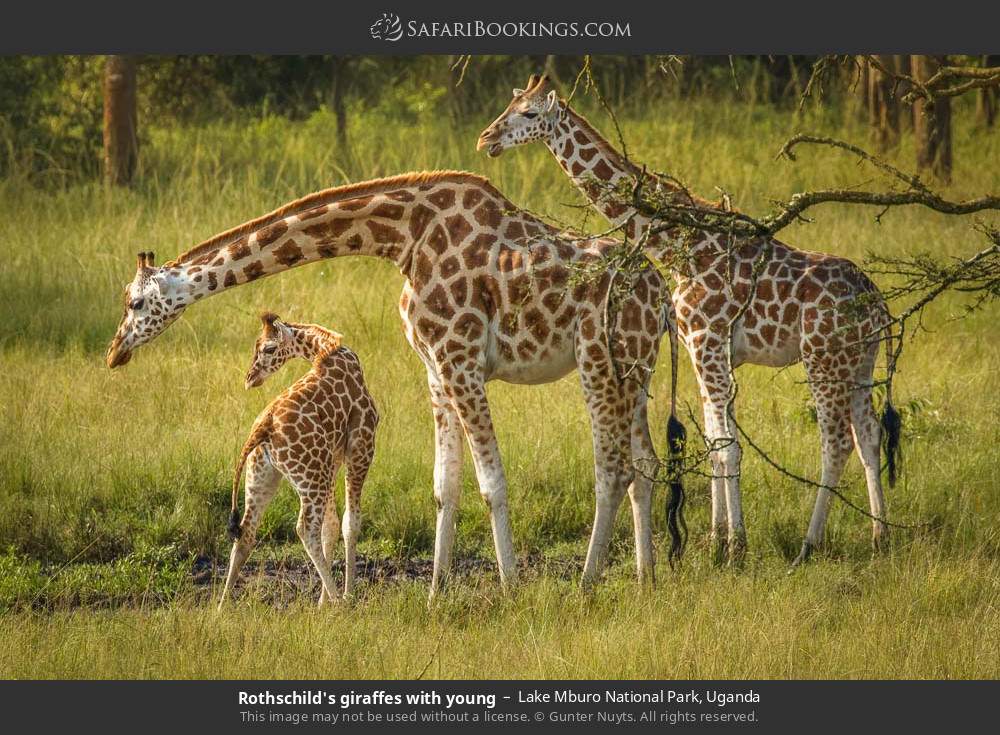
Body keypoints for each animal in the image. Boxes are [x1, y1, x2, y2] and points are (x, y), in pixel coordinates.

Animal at [219, 314, 378, 608]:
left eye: (268, 348)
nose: (250, 378)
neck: (329, 351)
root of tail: (263, 429)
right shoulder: (360, 444)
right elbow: (350, 523)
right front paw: (346, 595)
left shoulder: (332, 459)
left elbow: (331, 526)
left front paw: (322, 604)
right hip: (312, 476)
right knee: (305, 529)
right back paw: (340, 602)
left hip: (263, 476)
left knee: (246, 533)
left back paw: (221, 606)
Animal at [480, 76, 904, 564]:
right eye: (509, 104)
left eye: (529, 114)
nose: (486, 139)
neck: (681, 247)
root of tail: (877, 300)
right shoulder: (703, 347)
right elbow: (715, 442)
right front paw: (717, 541)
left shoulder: (708, 340)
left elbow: (728, 446)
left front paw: (736, 547)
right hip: (861, 359)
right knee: (868, 435)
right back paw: (880, 536)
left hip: (823, 357)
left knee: (836, 442)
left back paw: (808, 545)